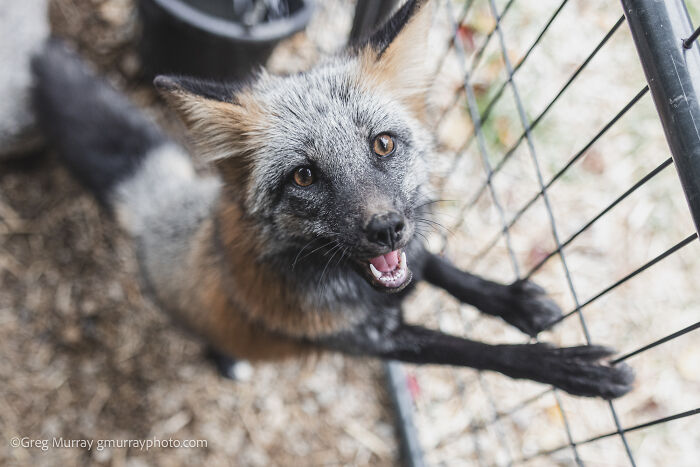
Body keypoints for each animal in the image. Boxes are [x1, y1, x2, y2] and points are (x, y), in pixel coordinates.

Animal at [31, 0, 633, 399]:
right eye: (303, 176)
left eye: (382, 144)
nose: (386, 229)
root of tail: (162, 202)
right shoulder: (372, 341)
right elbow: (478, 352)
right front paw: (571, 371)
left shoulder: (410, 256)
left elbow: (442, 268)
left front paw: (514, 302)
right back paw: (227, 360)